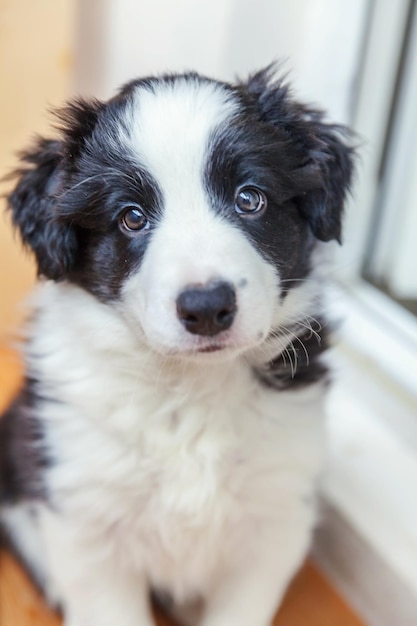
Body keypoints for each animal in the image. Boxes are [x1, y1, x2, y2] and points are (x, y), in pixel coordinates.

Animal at [0, 68, 352, 624]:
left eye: (250, 198)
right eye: (131, 217)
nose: (206, 307)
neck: (190, 391)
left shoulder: (275, 516)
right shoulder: (86, 520)